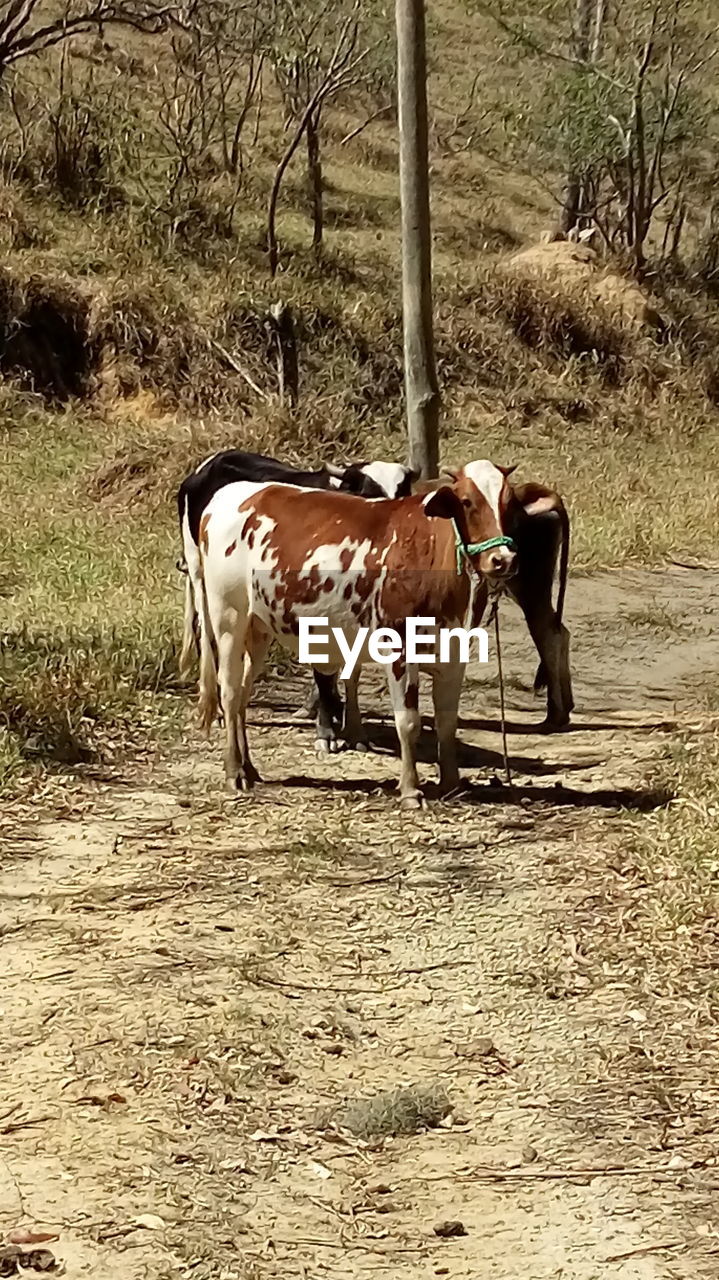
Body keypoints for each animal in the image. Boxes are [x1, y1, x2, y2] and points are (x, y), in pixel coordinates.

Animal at [194, 455, 519, 803]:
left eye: (508, 502)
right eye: (467, 501)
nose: (502, 559)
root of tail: (228, 496)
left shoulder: (454, 654)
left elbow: (446, 722)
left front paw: (452, 783)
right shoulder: (399, 649)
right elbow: (408, 722)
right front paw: (410, 788)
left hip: (259, 628)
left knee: (242, 694)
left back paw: (249, 768)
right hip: (229, 618)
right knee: (229, 692)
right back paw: (234, 771)